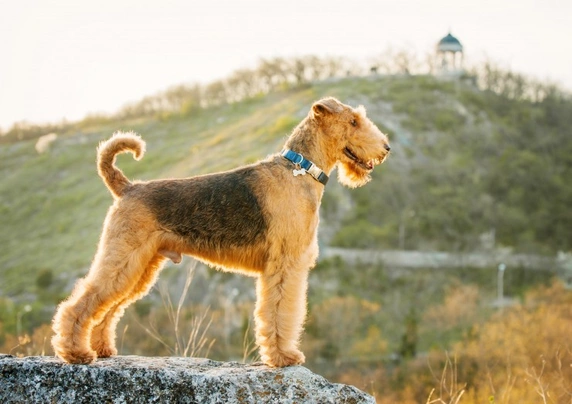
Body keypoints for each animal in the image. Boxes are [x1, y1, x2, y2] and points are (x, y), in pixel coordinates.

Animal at [51, 96, 392, 368]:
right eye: (353, 121)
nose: (386, 148)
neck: (301, 170)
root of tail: (127, 187)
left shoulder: (287, 266)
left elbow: (279, 312)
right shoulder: (285, 266)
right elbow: (280, 312)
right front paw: (283, 357)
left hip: (140, 268)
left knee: (108, 309)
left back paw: (102, 349)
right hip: (124, 258)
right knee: (78, 304)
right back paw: (75, 353)